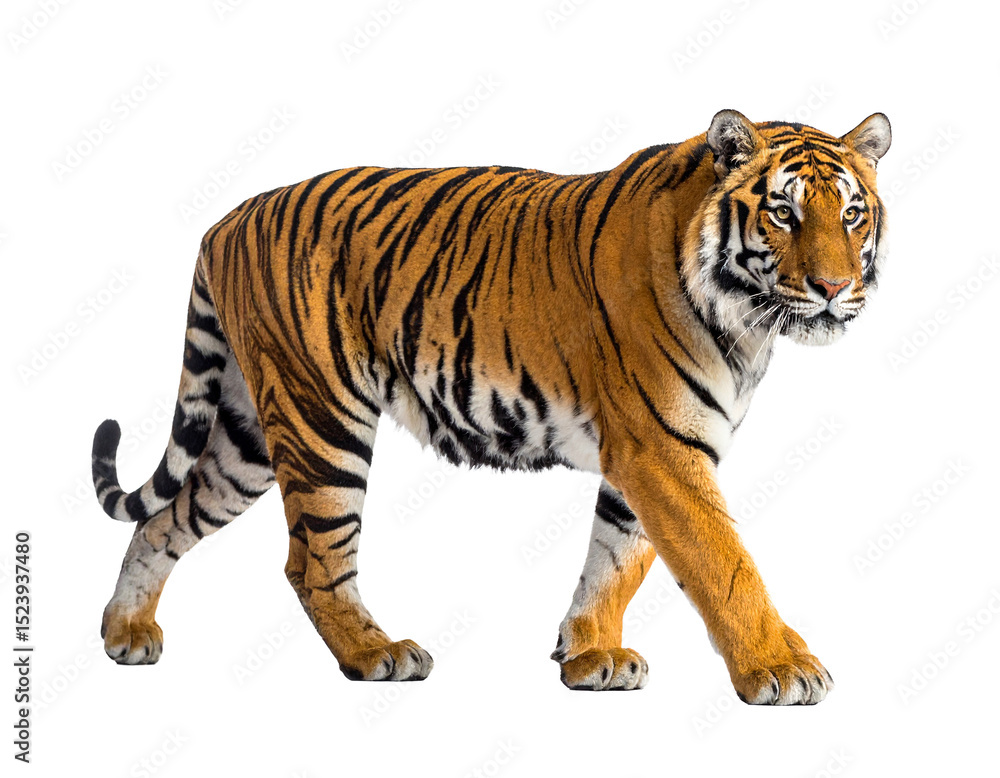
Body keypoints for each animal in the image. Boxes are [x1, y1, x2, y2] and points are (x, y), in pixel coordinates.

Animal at [92, 109, 890, 705]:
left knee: (164, 520)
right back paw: (376, 654)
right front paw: (780, 668)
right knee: (311, 560)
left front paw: (589, 654)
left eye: (852, 214)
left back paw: (124, 633)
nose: (833, 288)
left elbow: (617, 558)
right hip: (320, 418)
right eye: (784, 213)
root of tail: (227, 218)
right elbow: (724, 563)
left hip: (248, 434)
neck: (748, 322)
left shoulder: (652, 451)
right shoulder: (662, 450)